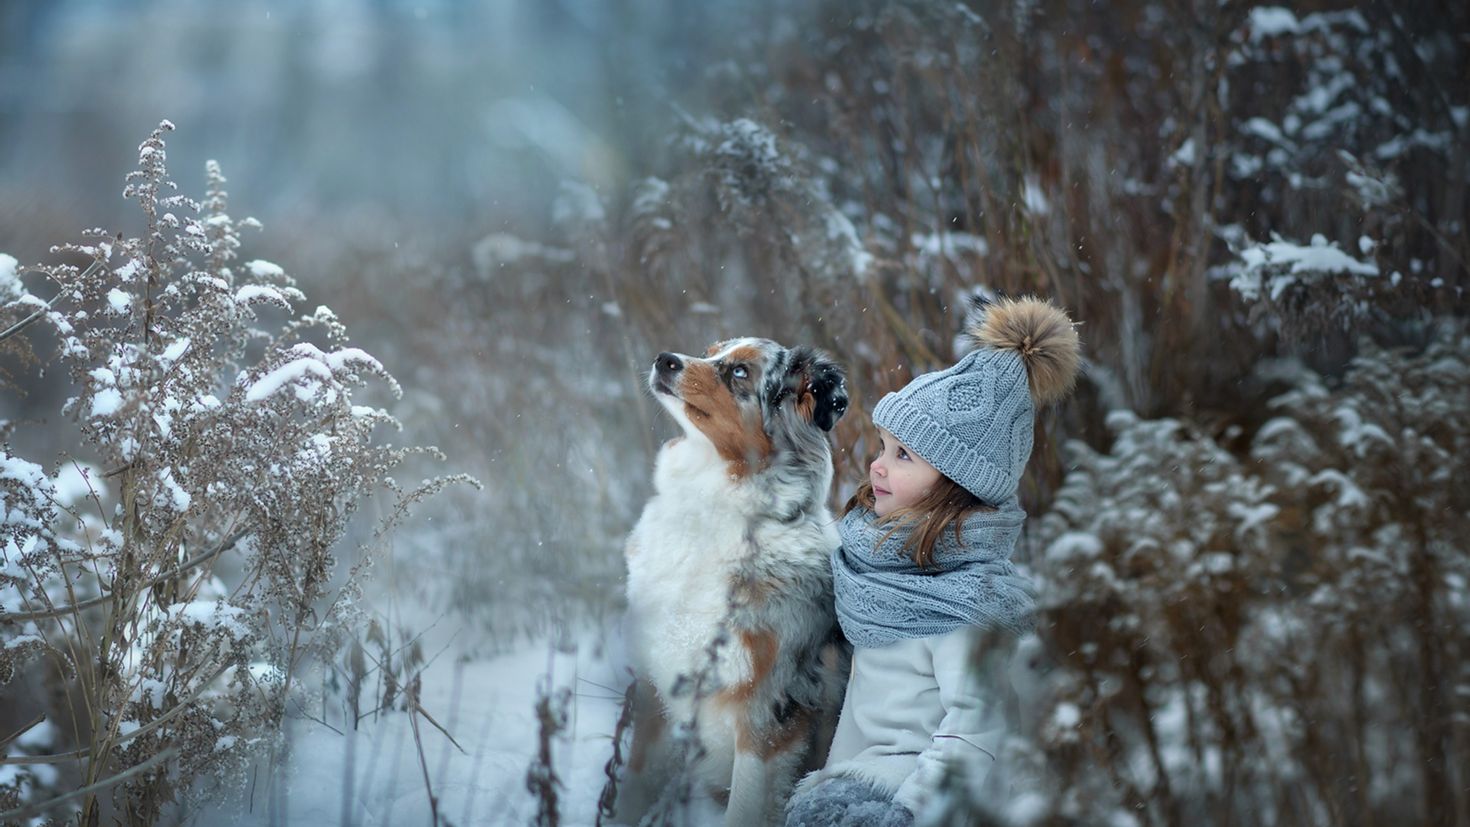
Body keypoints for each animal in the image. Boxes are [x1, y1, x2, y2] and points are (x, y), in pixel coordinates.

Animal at [617, 337, 852, 827]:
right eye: (710, 352)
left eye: (740, 372)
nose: (664, 359)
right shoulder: (653, 689)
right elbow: (630, 791)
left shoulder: (769, 714)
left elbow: (744, 807)